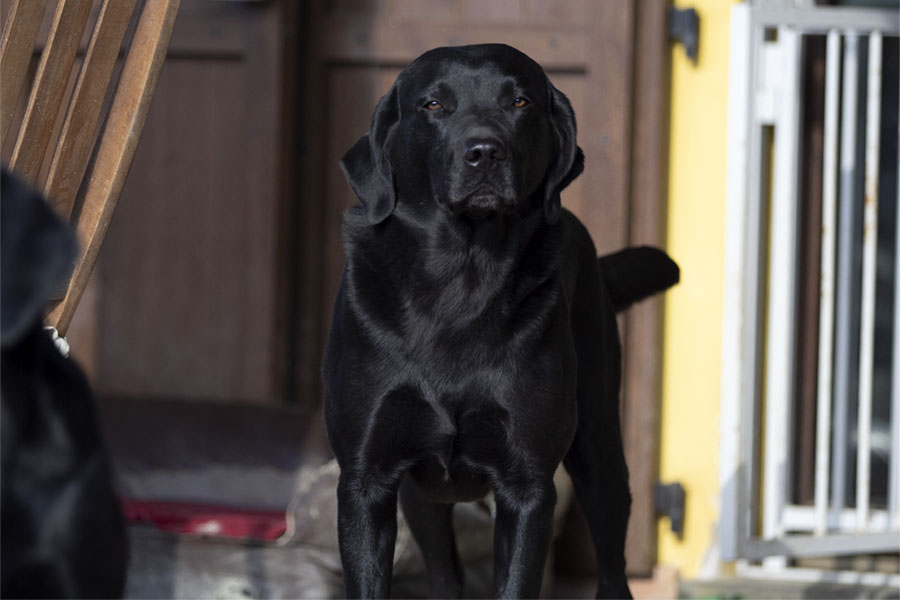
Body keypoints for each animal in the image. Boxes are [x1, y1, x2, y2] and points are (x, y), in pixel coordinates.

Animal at [323, 44, 679, 599]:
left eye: (519, 101)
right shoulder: (366, 479)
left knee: (612, 561)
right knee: (443, 570)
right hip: (420, 499)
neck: (460, 281)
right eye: (432, 104)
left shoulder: (527, 486)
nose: (485, 153)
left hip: (599, 447)